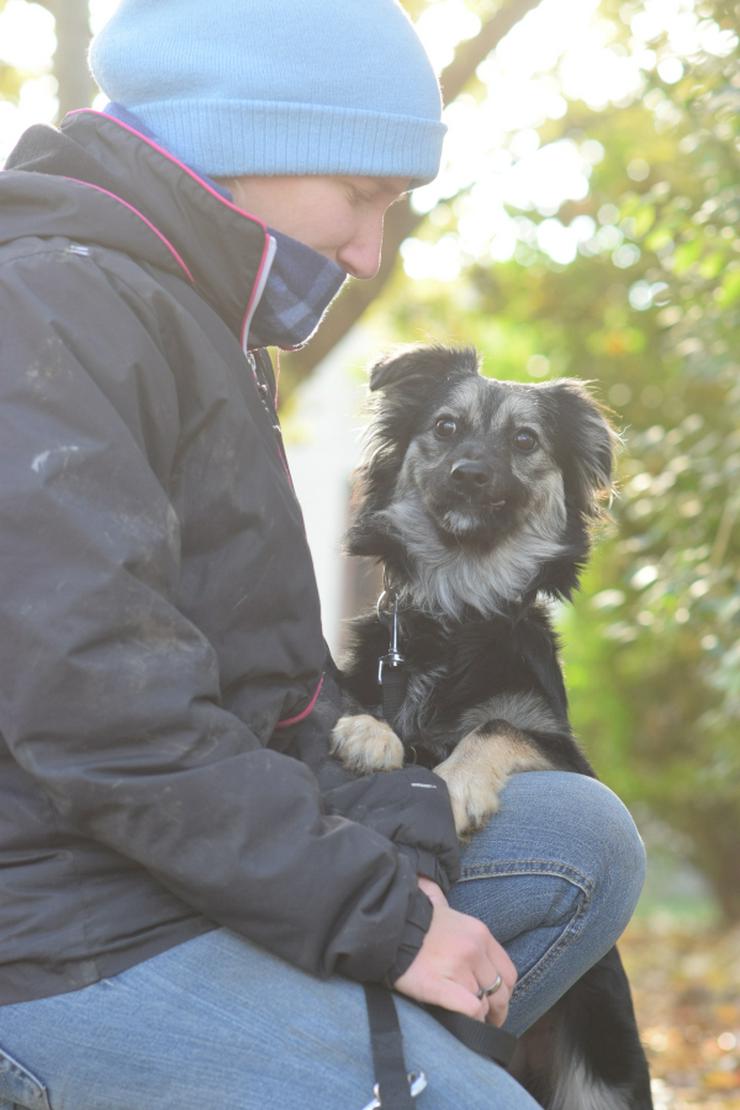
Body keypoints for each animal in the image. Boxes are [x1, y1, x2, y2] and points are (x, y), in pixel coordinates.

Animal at [330, 346, 652, 1110]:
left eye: (525, 440)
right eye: (445, 427)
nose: (469, 474)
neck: (459, 607)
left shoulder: (564, 749)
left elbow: (499, 726)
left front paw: (453, 786)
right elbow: (370, 708)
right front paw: (372, 734)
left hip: (601, 1072)